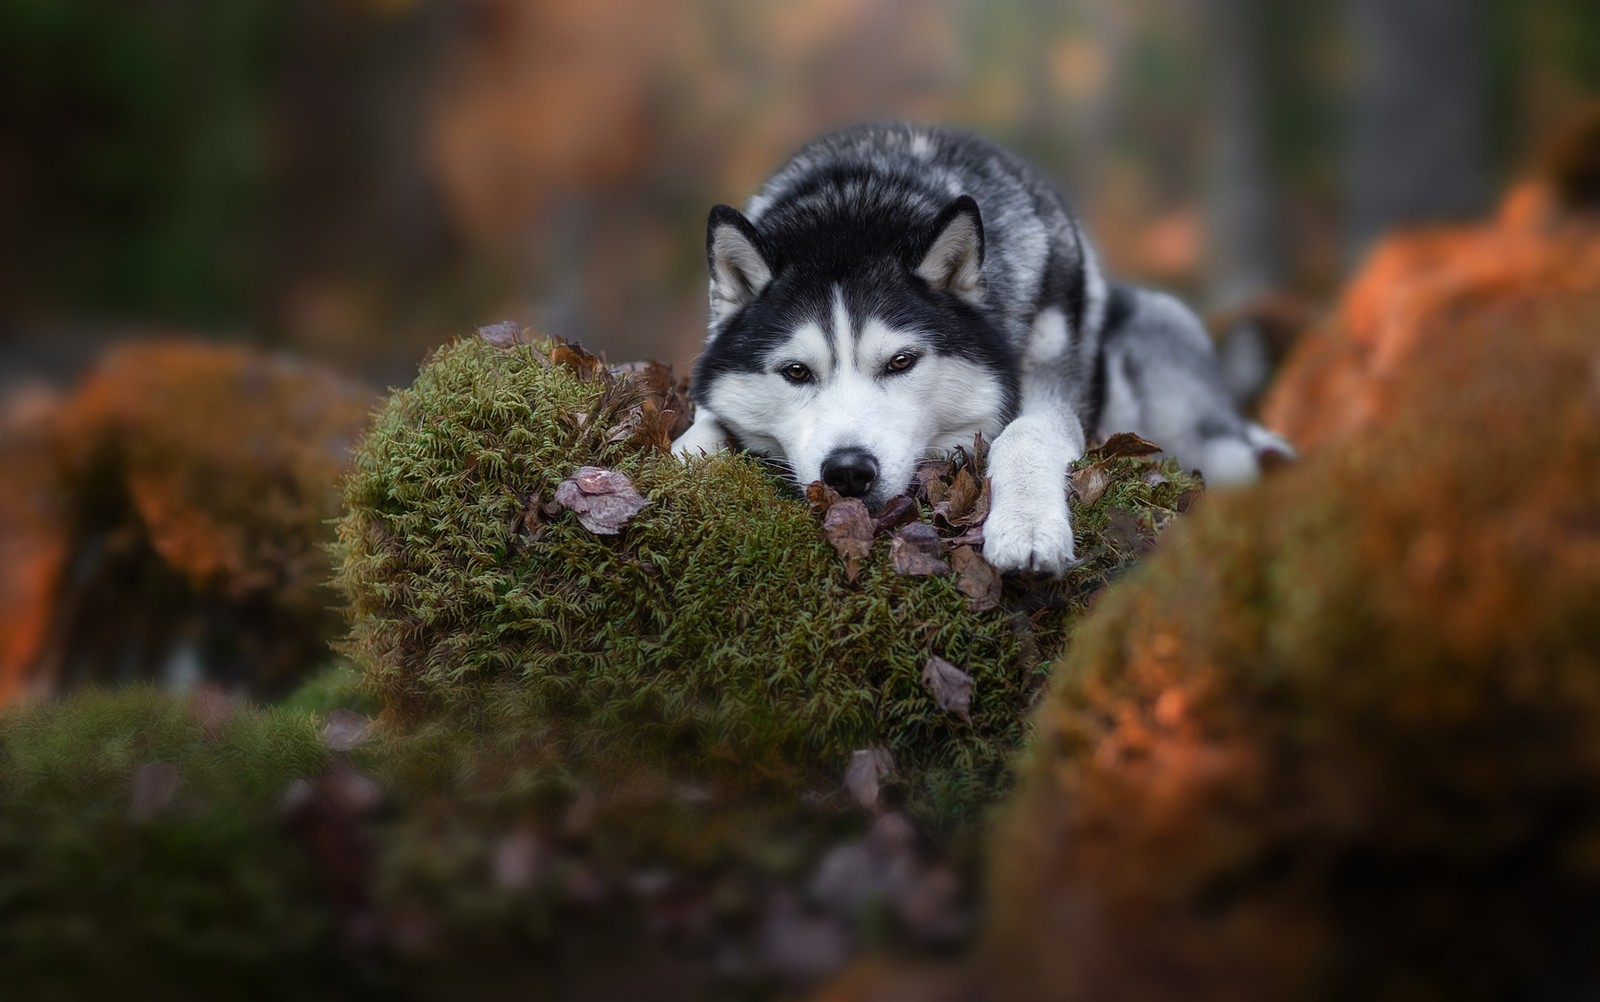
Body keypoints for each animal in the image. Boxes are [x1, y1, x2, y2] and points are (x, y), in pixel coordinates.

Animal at [672, 123, 1286, 576]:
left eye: (901, 362)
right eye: (796, 372)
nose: (848, 471)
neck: (863, 197)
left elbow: (1024, 433)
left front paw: (1028, 526)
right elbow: (701, 428)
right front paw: (690, 451)